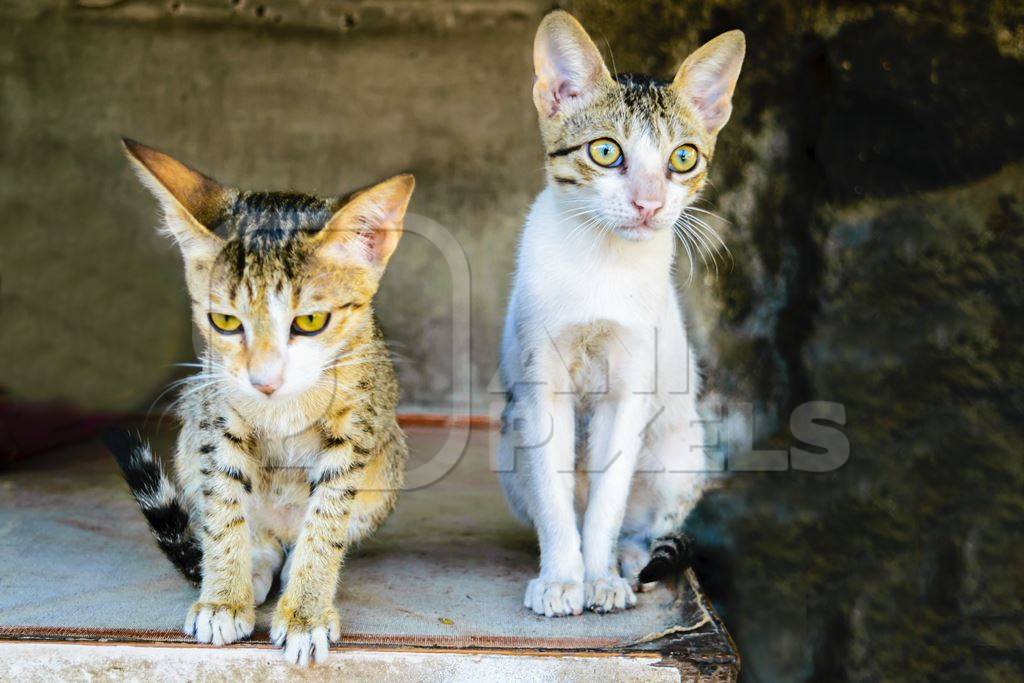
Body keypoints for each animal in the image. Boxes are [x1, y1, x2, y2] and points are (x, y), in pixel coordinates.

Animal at [110, 141, 413, 663]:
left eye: (310, 321)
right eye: (226, 322)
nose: (264, 380)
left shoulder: (356, 425)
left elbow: (328, 520)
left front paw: (307, 612)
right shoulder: (217, 416)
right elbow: (223, 508)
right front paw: (223, 597)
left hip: (387, 462)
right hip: (193, 420)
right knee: (255, 532)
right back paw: (251, 568)